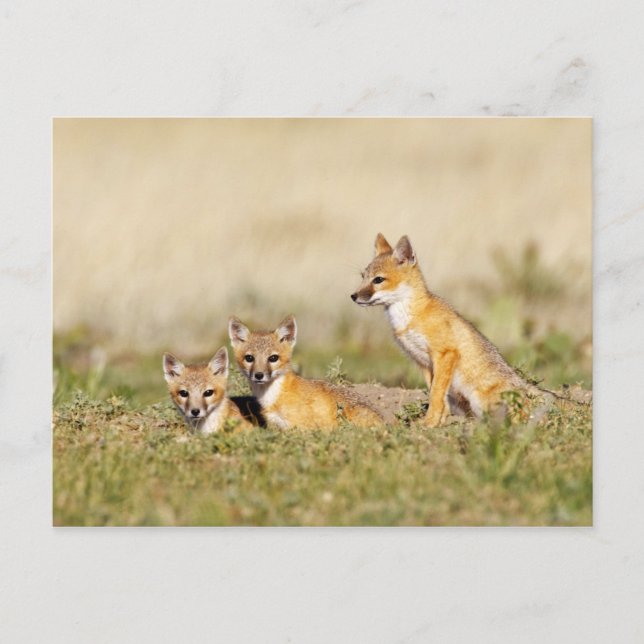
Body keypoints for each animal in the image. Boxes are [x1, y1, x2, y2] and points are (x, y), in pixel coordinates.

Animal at [351, 233, 548, 427]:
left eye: (378, 280)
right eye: (363, 277)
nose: (353, 296)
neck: (409, 317)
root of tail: (522, 384)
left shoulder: (445, 353)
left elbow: (435, 394)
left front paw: (429, 423)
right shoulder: (423, 362)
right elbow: (436, 394)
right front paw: (438, 421)